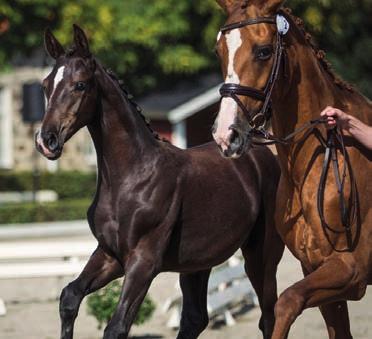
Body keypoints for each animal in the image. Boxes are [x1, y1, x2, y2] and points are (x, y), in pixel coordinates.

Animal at [35, 25, 284, 338]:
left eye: (80, 85)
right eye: (46, 85)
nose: (46, 140)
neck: (132, 177)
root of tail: (261, 146)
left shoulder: (144, 262)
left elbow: (116, 327)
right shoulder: (110, 255)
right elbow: (69, 297)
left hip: (261, 254)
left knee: (269, 316)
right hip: (196, 264)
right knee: (195, 318)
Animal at [212, 0, 372, 339]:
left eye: (263, 51)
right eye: (219, 51)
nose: (225, 135)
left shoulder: (351, 270)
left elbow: (286, 302)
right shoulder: (317, 270)